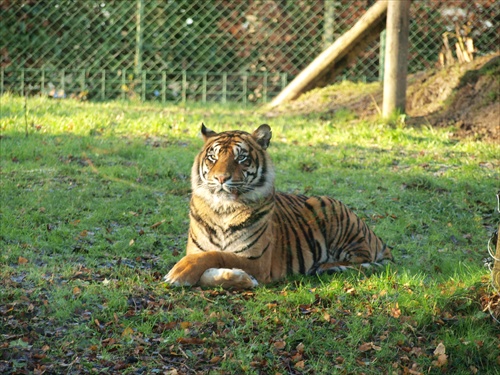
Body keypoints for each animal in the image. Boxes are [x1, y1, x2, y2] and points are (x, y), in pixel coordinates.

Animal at [166, 125, 392, 290]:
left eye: (241, 157)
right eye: (213, 157)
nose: (221, 178)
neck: (222, 210)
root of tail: (376, 238)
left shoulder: (256, 259)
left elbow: (217, 255)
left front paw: (179, 273)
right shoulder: (196, 250)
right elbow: (206, 271)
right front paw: (239, 278)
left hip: (332, 212)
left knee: (359, 259)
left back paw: (324, 266)